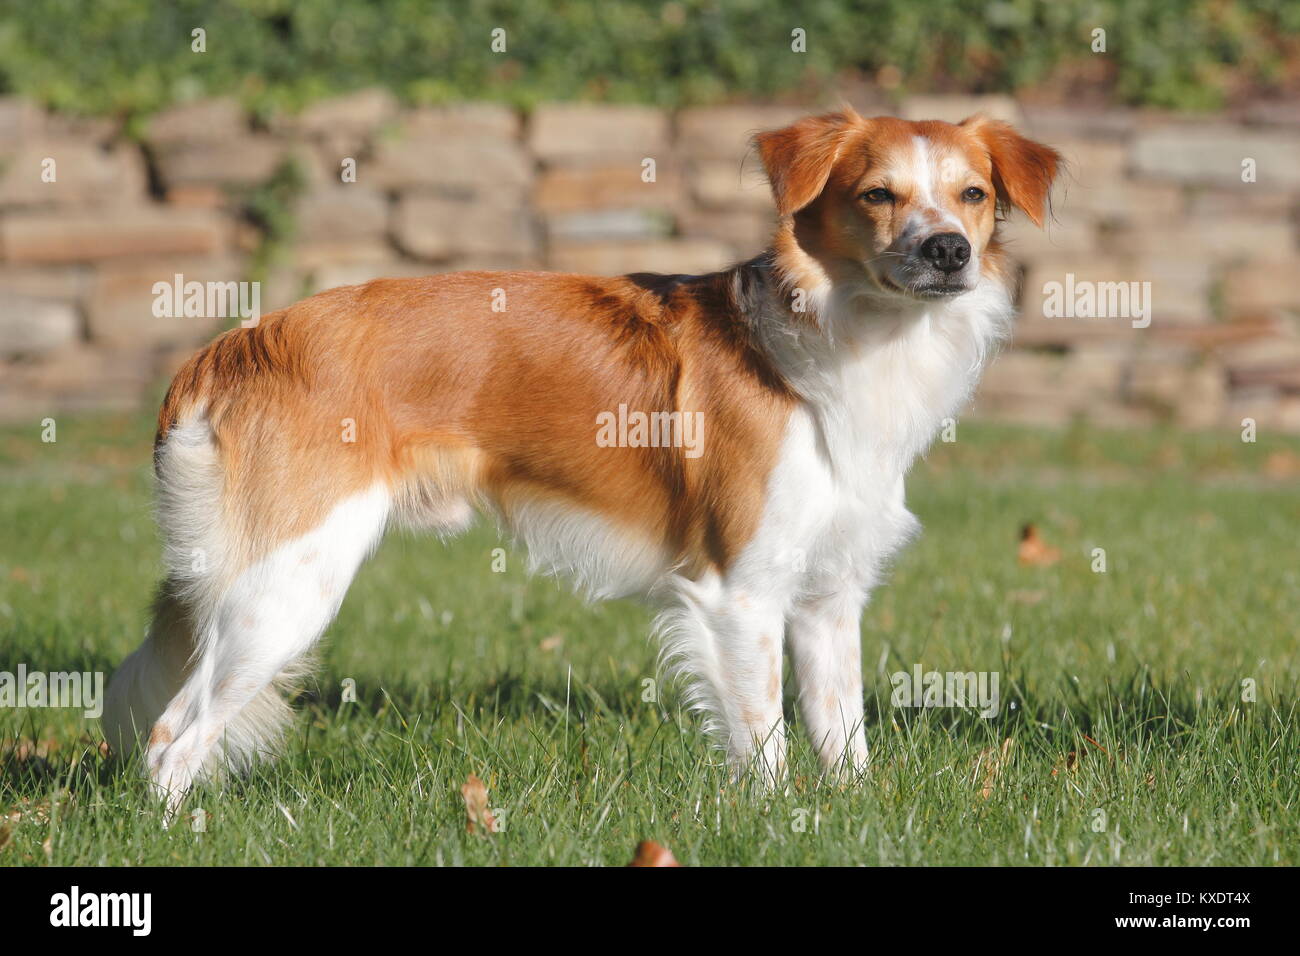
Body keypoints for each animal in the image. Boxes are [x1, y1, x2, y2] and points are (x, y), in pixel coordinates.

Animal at [101, 108, 1055, 811]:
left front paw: (850, 816)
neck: (847, 340)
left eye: (971, 195)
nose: (949, 251)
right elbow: (763, 738)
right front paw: (777, 821)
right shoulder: (741, 594)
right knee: (170, 739)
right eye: (879, 195)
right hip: (287, 584)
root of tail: (237, 342)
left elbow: (840, 730)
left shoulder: (828, 595)